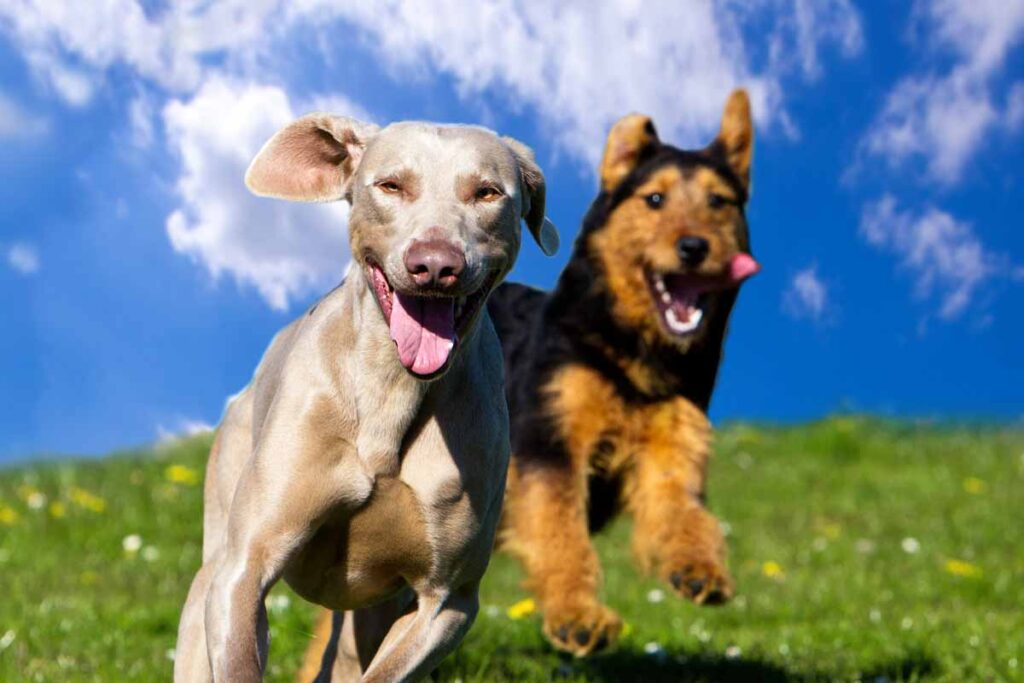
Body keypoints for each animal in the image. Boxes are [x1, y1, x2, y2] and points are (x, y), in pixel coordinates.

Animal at [175, 113, 561, 683]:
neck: (392, 393)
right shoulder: (244, 570)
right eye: (391, 185)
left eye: (487, 192)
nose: (435, 265)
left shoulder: (448, 603)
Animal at [487, 90, 761, 655]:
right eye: (654, 199)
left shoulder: (672, 449)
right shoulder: (552, 442)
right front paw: (578, 616)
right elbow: (560, 533)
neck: (636, 354)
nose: (694, 247)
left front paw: (699, 569)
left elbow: (684, 514)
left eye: (719, 202)